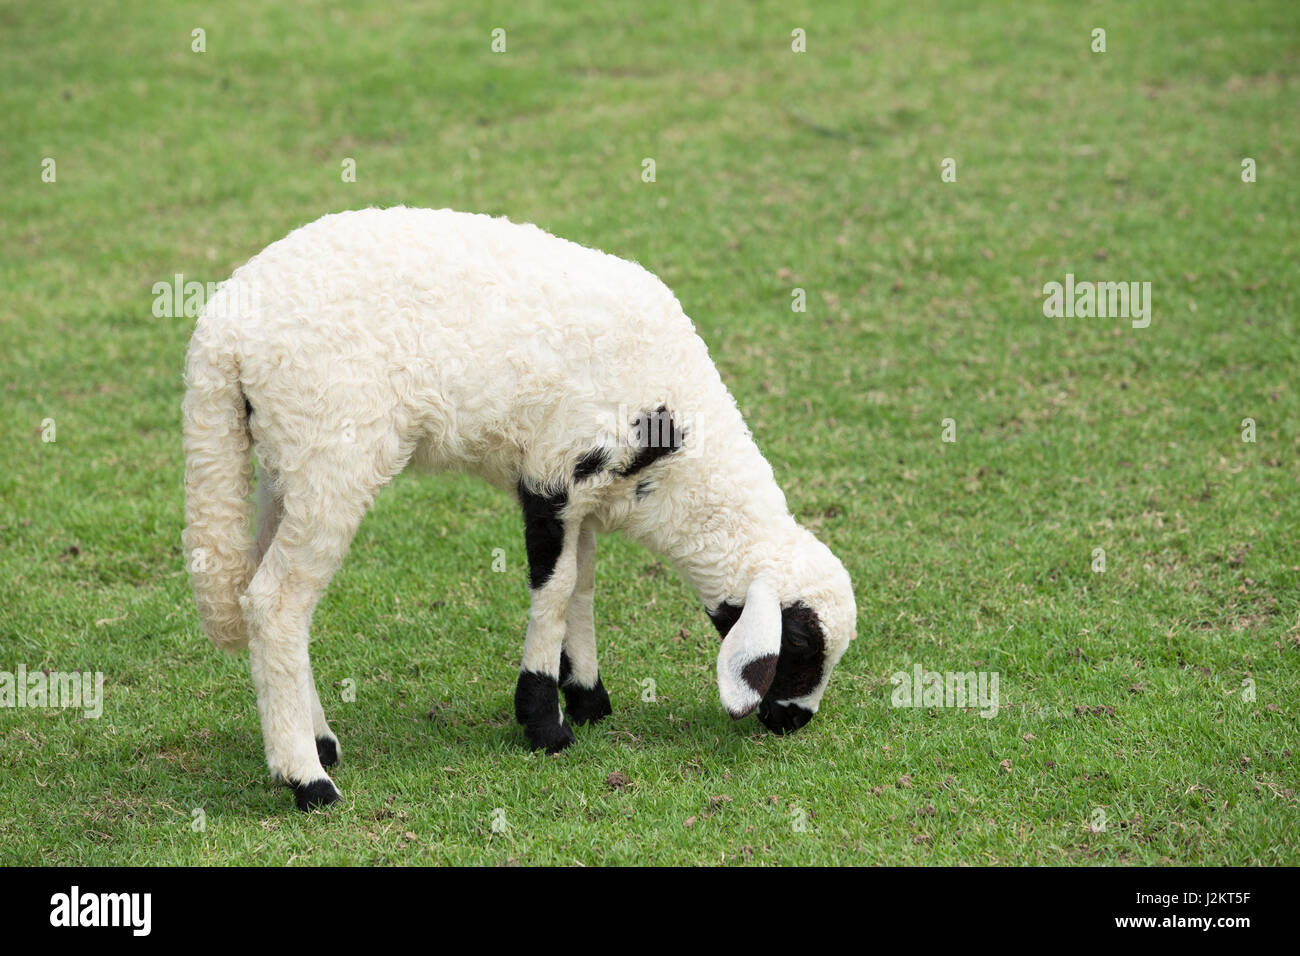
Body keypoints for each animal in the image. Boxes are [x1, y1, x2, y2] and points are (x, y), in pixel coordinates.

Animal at [182, 206, 857, 810]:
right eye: (800, 646)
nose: (793, 723)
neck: (678, 453)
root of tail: (220, 334)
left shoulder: (584, 496)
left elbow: (583, 584)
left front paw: (587, 699)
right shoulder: (556, 475)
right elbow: (555, 589)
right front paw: (544, 723)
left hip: (285, 464)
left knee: (268, 596)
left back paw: (319, 742)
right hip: (332, 454)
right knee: (274, 604)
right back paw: (307, 780)